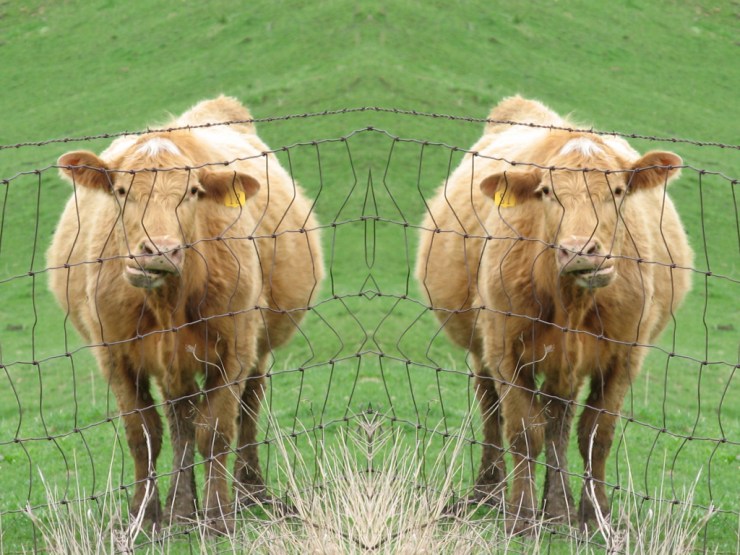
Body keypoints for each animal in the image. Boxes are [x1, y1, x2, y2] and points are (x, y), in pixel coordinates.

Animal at [47, 96, 324, 534]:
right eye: (121, 190)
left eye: (193, 191)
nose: (159, 251)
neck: (168, 301)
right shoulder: (115, 355)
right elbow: (144, 435)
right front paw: (145, 516)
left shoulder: (234, 350)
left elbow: (216, 431)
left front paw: (218, 514)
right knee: (181, 421)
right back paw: (180, 507)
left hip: (255, 347)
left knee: (246, 409)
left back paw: (251, 492)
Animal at [415, 95, 692, 533]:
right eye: (546, 191)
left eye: (617, 190)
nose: (580, 251)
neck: (572, 302)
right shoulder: (505, 350)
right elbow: (524, 431)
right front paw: (522, 515)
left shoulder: (624, 355)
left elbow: (596, 435)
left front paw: (595, 516)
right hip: (483, 346)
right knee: (492, 410)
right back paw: (488, 493)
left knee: (559, 421)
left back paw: (559, 508)